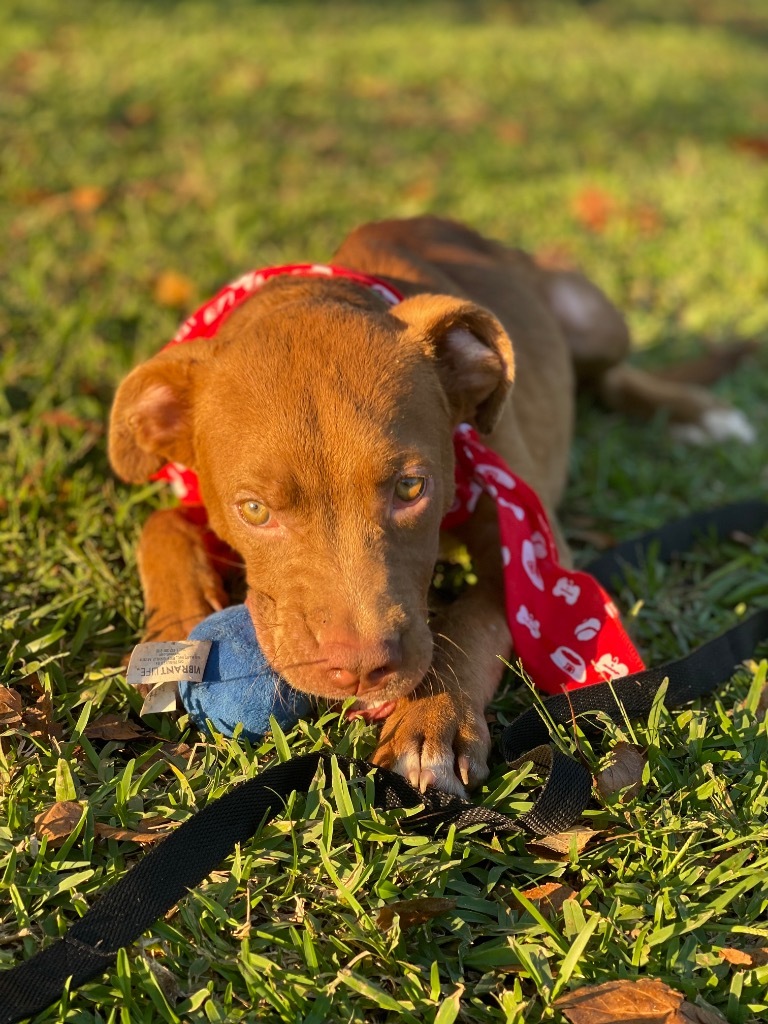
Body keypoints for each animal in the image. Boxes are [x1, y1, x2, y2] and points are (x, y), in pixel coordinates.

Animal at [107, 214, 753, 790]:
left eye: (411, 488)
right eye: (254, 511)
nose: (364, 670)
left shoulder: (530, 548)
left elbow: (470, 620)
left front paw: (431, 720)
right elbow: (161, 522)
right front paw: (179, 621)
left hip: (593, 316)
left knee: (613, 376)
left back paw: (700, 415)